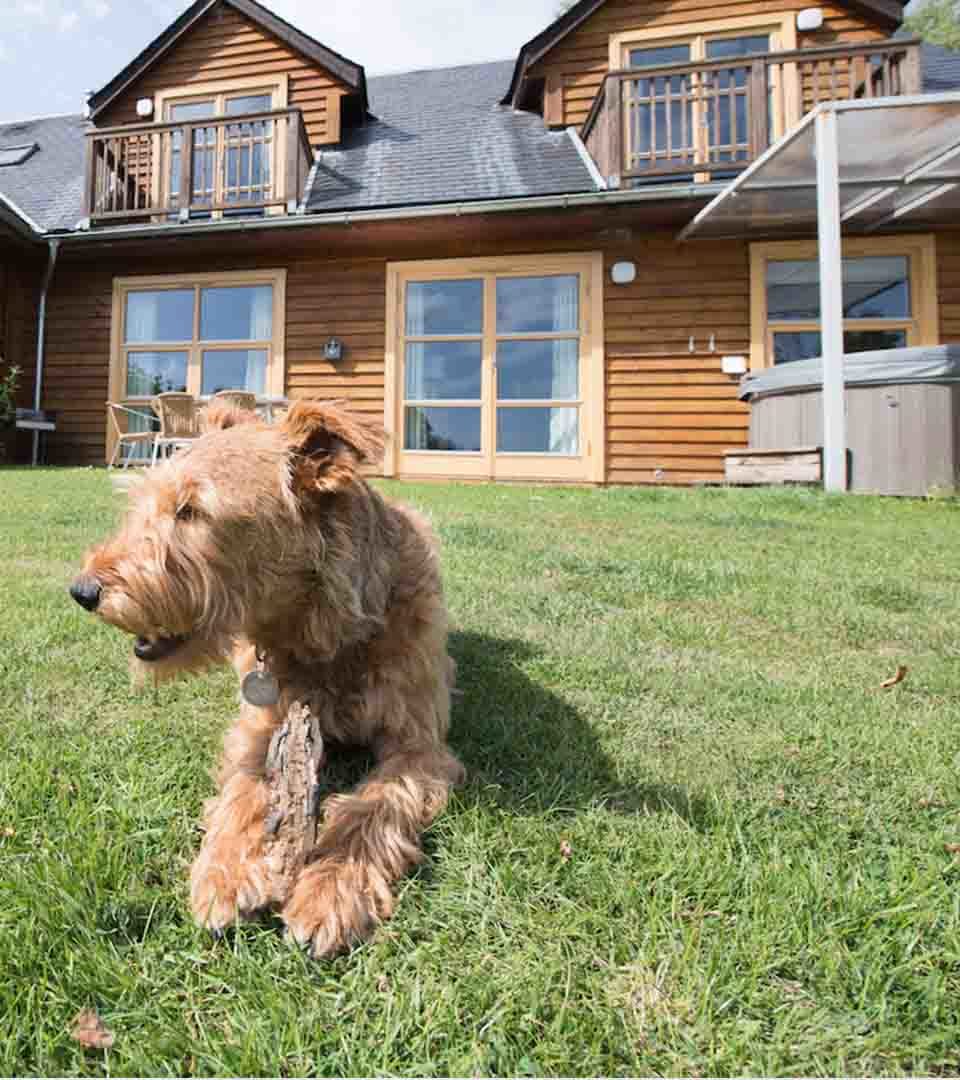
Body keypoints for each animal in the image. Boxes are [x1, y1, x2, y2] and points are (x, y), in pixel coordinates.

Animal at [71, 401, 464, 959]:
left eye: (192, 510)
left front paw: (330, 889)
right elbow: (243, 791)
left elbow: (370, 807)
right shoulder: (258, 728)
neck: (323, 639)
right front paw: (227, 873)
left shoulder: (418, 746)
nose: (82, 591)